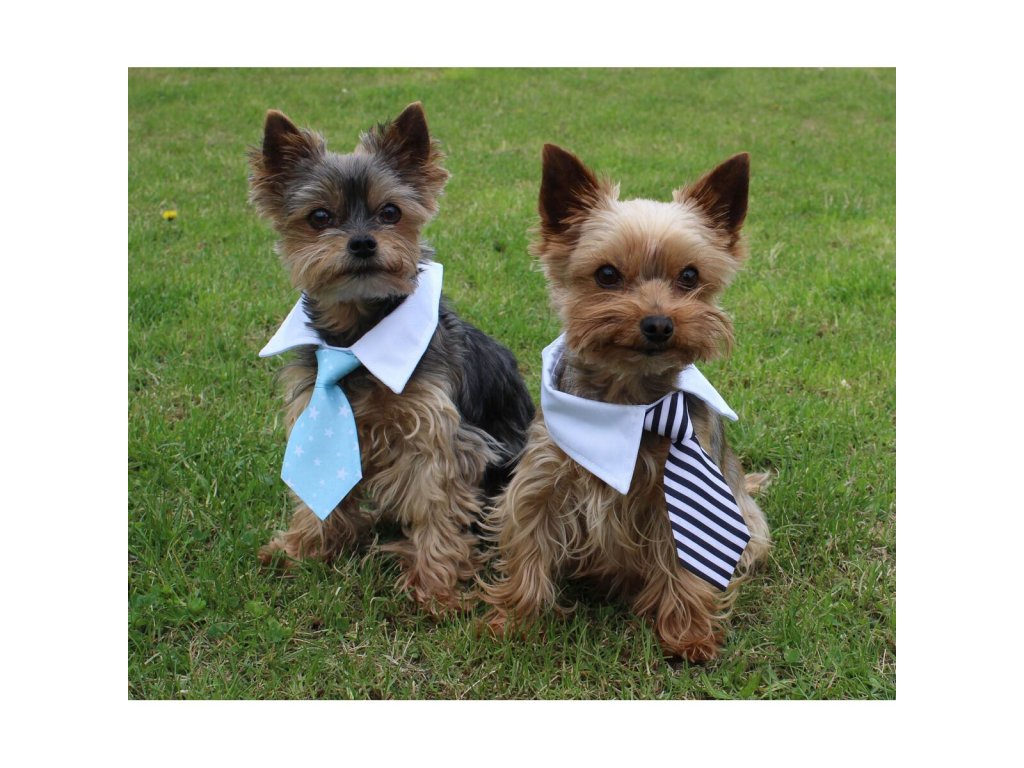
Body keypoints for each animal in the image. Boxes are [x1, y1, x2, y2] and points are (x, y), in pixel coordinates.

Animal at [249, 102, 534, 611]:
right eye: (319, 216)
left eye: (390, 212)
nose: (363, 242)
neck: (356, 333)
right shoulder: (316, 410)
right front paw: (303, 548)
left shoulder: (438, 435)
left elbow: (436, 504)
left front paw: (435, 587)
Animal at [482, 144, 770, 659]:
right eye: (607, 274)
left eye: (690, 276)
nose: (658, 323)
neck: (630, 401)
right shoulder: (541, 483)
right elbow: (528, 546)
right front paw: (514, 620)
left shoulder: (675, 501)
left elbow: (686, 564)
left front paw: (688, 634)